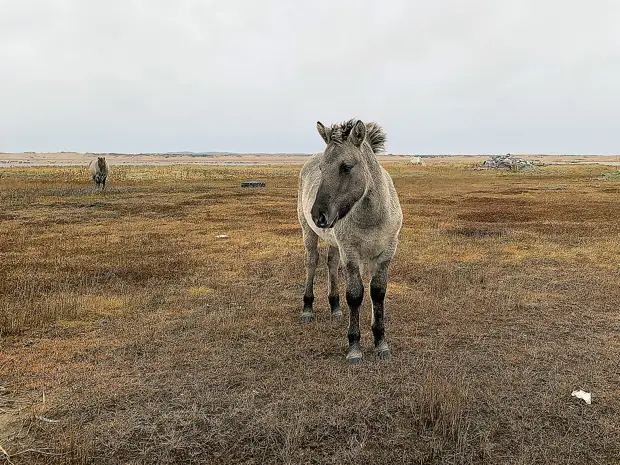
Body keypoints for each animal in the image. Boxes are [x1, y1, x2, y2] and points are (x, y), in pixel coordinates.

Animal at [298, 118, 404, 364]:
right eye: (321, 168)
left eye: (346, 167)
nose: (319, 215)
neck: (373, 216)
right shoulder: (351, 253)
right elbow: (355, 295)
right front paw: (354, 347)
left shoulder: (385, 254)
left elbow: (378, 293)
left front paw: (381, 343)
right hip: (309, 233)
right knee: (311, 262)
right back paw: (307, 308)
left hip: (334, 243)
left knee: (331, 264)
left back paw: (335, 307)